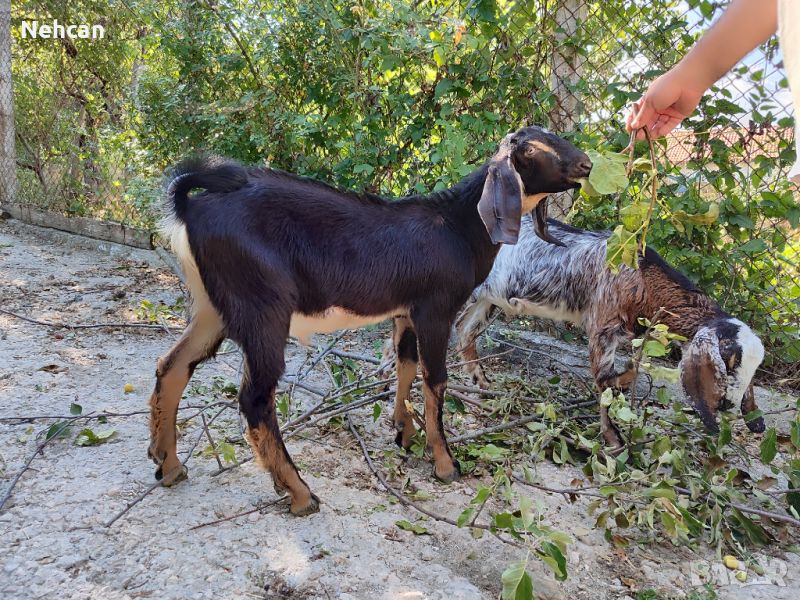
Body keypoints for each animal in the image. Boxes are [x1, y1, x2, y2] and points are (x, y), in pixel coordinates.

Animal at [148, 127, 588, 516]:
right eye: (529, 150)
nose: (585, 164)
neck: (456, 226)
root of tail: (190, 207)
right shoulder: (435, 309)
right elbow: (435, 380)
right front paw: (445, 463)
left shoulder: (404, 312)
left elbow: (405, 366)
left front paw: (403, 431)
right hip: (261, 305)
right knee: (254, 398)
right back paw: (300, 493)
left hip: (213, 305)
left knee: (174, 364)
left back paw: (167, 464)